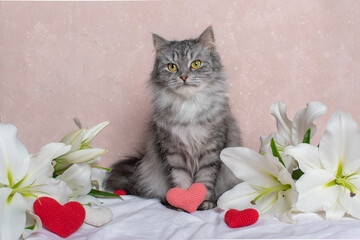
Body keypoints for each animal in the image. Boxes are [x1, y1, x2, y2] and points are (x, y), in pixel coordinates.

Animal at [105, 26, 243, 210]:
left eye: (195, 64)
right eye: (172, 67)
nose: (183, 76)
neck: (188, 105)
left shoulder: (211, 151)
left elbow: (205, 181)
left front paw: (203, 203)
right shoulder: (173, 152)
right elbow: (180, 180)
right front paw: (181, 204)